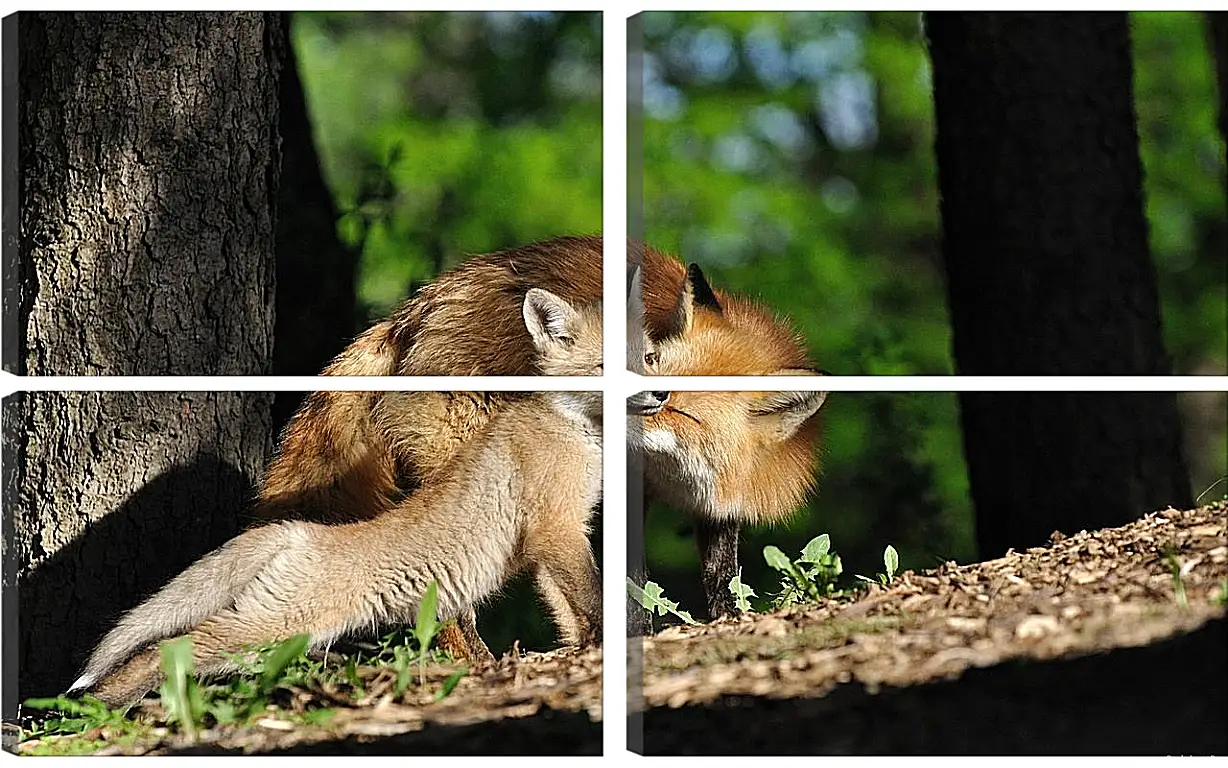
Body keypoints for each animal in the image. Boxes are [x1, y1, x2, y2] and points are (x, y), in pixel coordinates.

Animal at [69, 288, 601, 707]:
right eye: (599, 367)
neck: (572, 428)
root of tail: (297, 532)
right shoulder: (556, 526)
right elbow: (594, 597)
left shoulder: (553, 536)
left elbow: (566, 609)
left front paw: (578, 648)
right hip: (272, 625)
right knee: (165, 650)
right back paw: (94, 708)